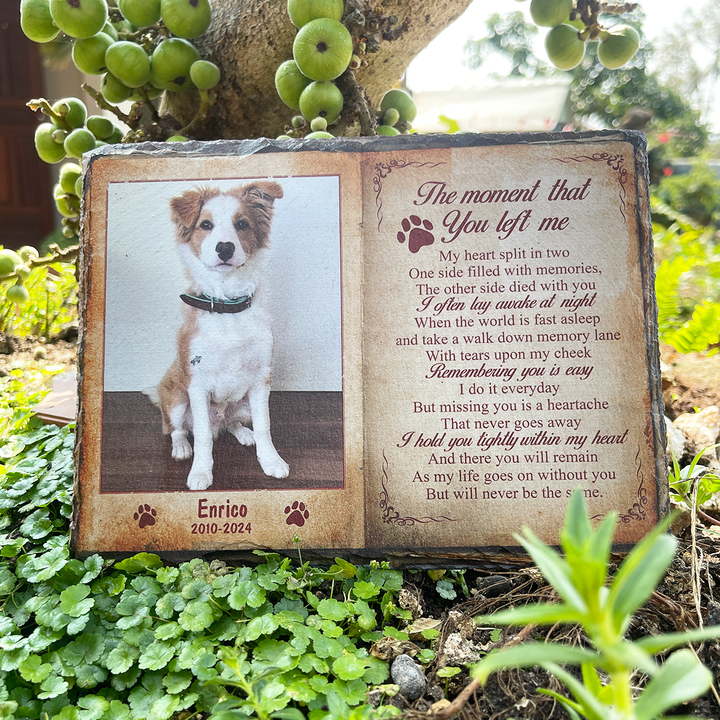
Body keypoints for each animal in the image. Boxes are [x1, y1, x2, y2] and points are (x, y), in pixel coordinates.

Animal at [152, 183, 290, 492]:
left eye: (242, 224)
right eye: (206, 225)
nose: (225, 247)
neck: (227, 307)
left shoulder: (261, 379)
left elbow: (265, 426)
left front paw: (271, 461)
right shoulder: (197, 383)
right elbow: (202, 435)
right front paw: (201, 473)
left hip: (242, 404)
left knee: (231, 423)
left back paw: (243, 433)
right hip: (176, 399)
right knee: (177, 429)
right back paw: (181, 448)